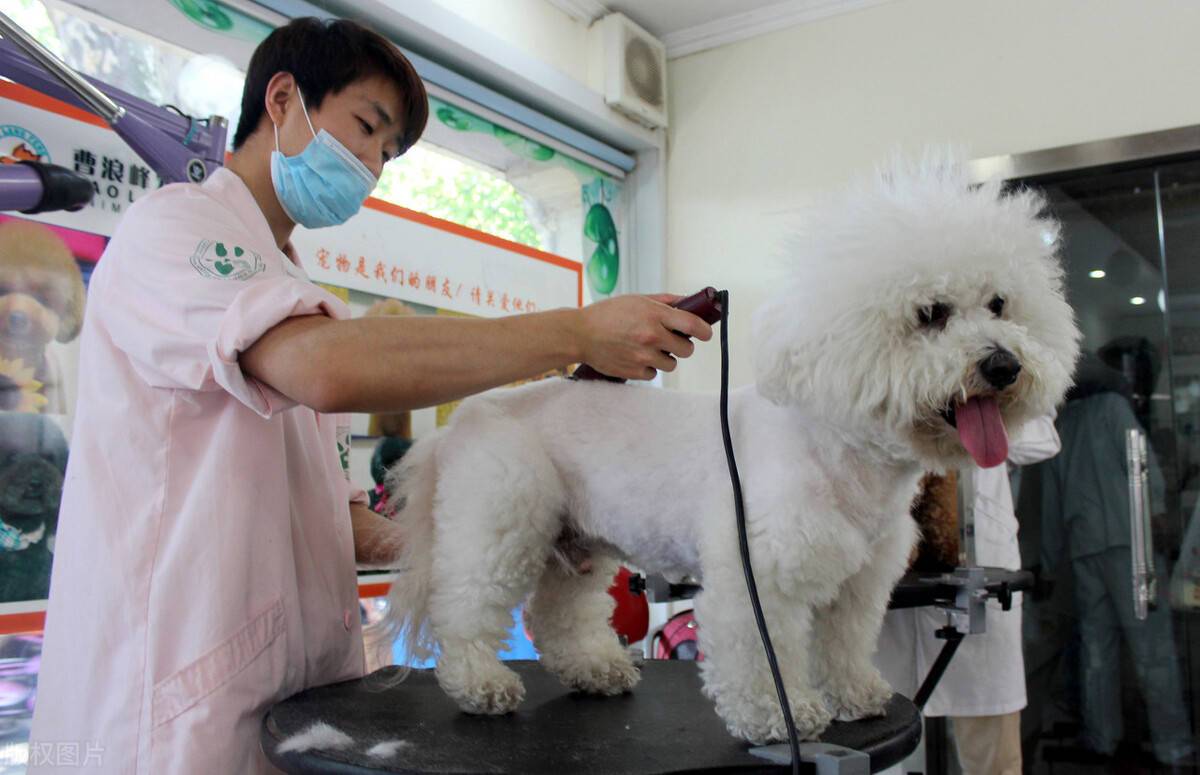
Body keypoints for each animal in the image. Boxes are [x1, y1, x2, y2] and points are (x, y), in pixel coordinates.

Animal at [379, 158, 1084, 748]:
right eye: (931, 313)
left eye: (1000, 305)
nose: (1004, 364)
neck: (840, 454)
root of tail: (469, 416)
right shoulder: (758, 574)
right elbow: (759, 658)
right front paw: (780, 717)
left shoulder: (859, 583)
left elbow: (845, 644)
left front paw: (856, 696)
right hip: (500, 525)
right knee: (464, 607)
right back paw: (480, 684)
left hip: (575, 543)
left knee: (557, 613)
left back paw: (596, 669)